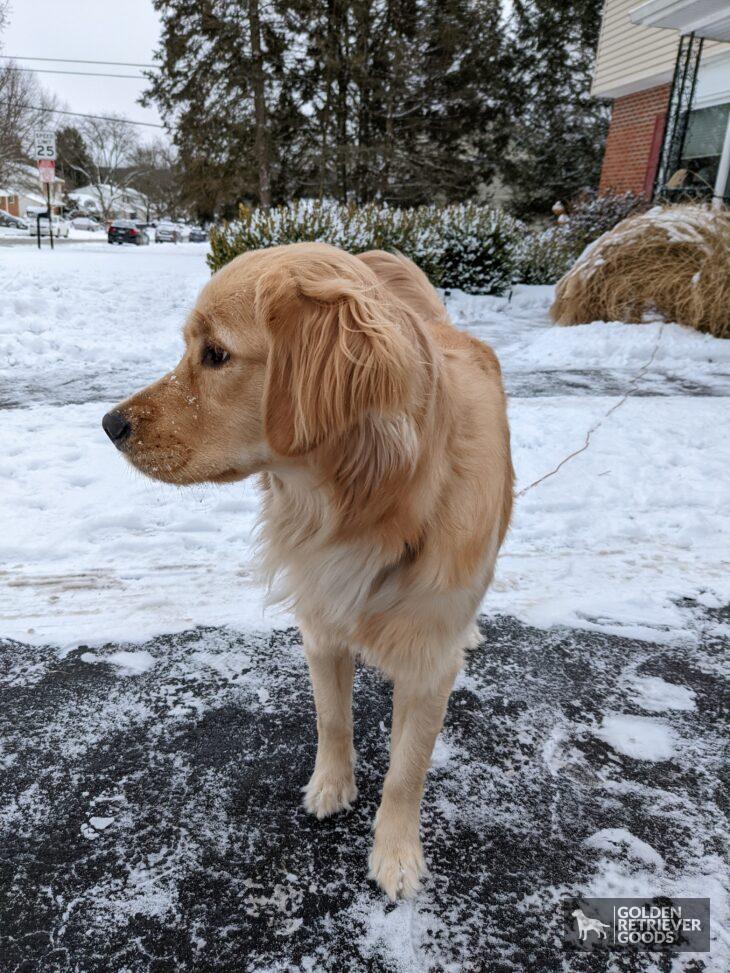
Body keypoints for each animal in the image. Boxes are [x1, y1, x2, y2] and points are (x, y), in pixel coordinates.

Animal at [102, 241, 512, 896]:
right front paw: (332, 786)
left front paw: (396, 854)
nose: (110, 425)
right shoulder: (321, 627)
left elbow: (407, 769)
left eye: (215, 354)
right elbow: (332, 720)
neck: (367, 508)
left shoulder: (427, 662)